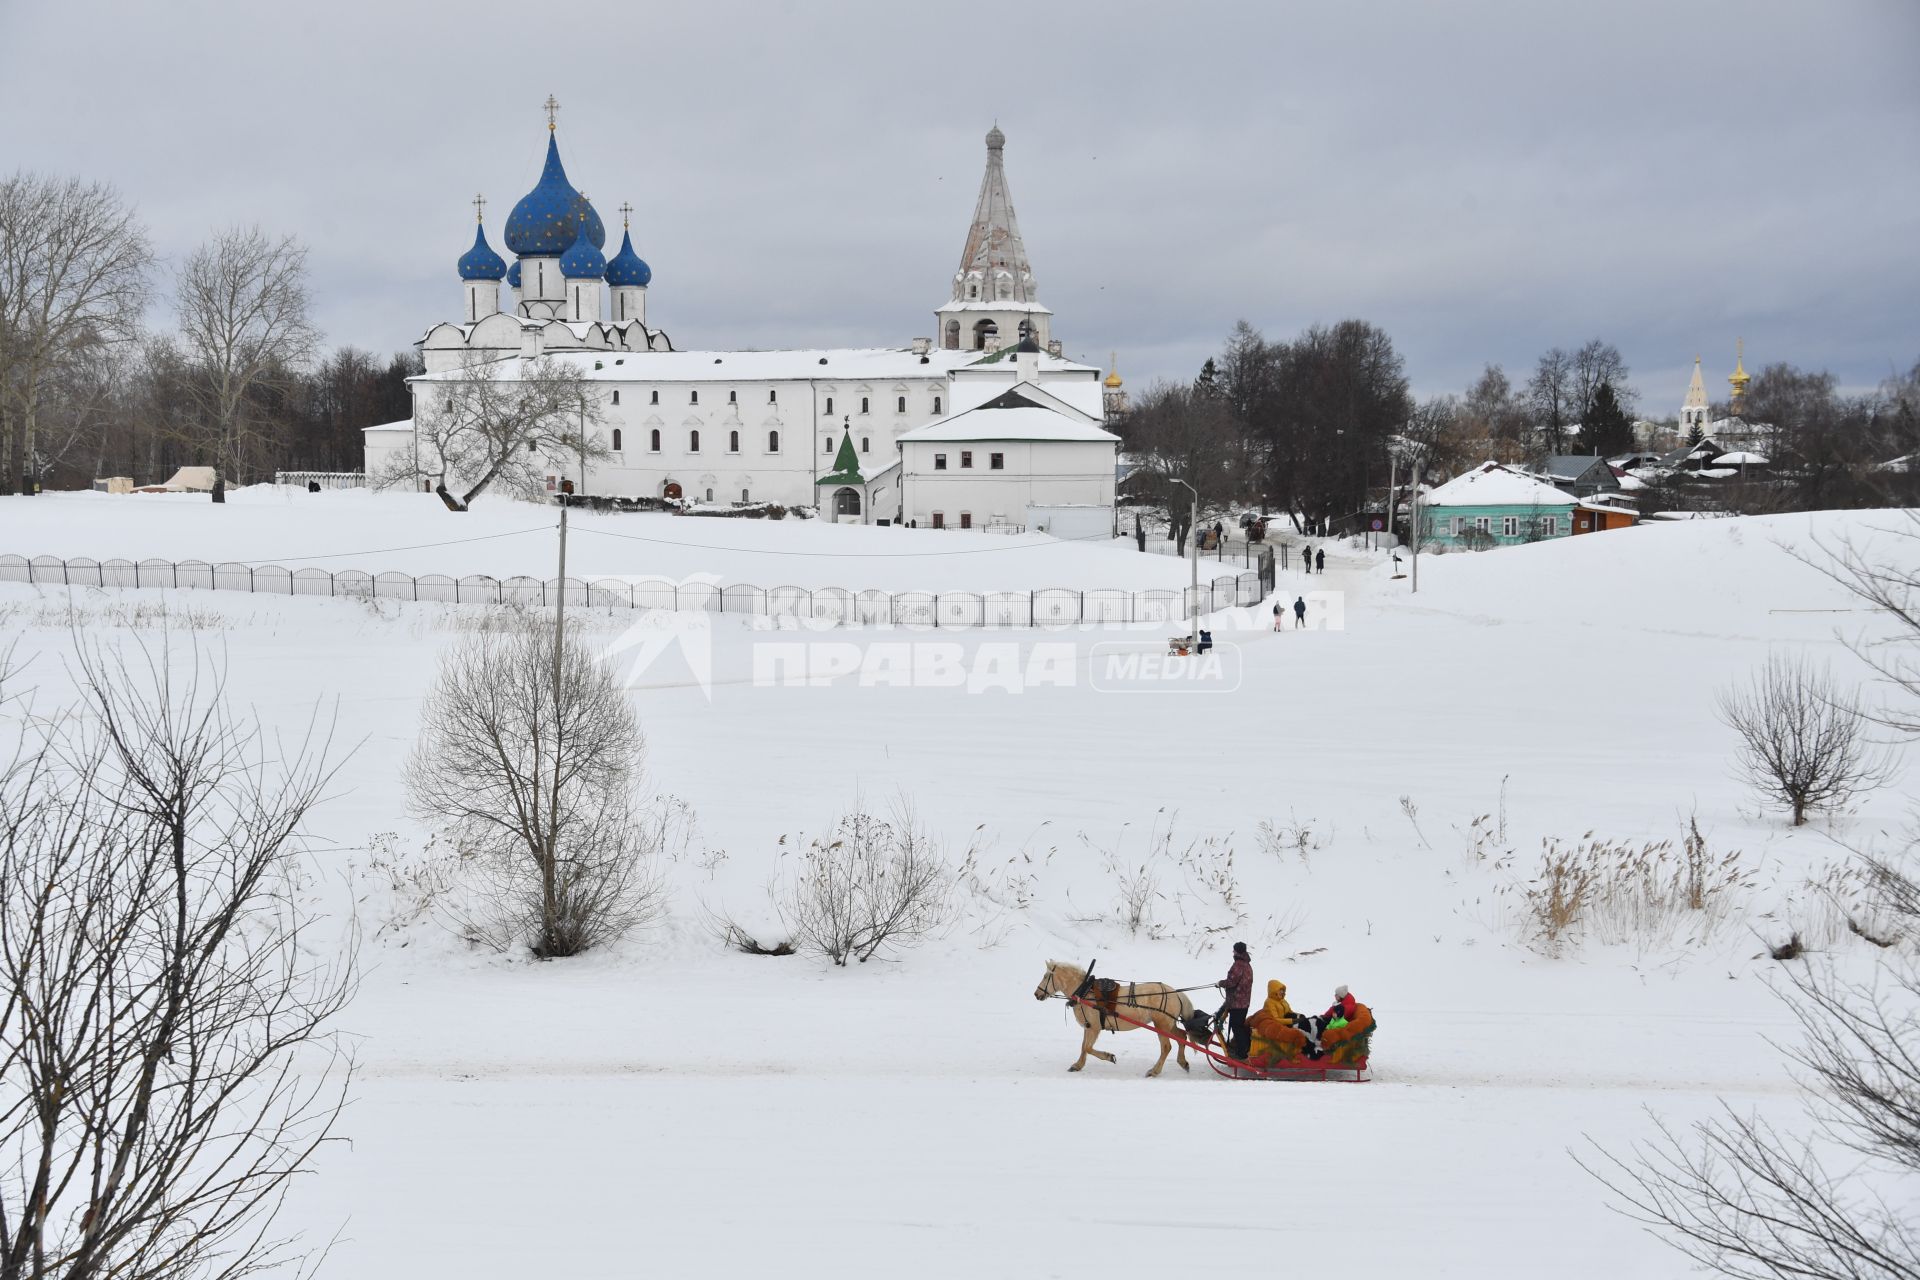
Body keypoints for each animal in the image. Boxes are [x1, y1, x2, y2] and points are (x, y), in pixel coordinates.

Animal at [1036, 967, 1182, 1074]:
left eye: (1045, 976)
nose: (1036, 994)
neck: (1085, 993)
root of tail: (1176, 993)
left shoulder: (1094, 1028)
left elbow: (1088, 1047)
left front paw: (1109, 1056)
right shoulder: (1088, 1027)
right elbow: (1083, 1046)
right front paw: (1077, 1065)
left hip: (1161, 1025)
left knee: (1166, 1047)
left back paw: (1155, 1071)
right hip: (1168, 1025)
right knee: (1182, 1036)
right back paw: (1183, 1062)